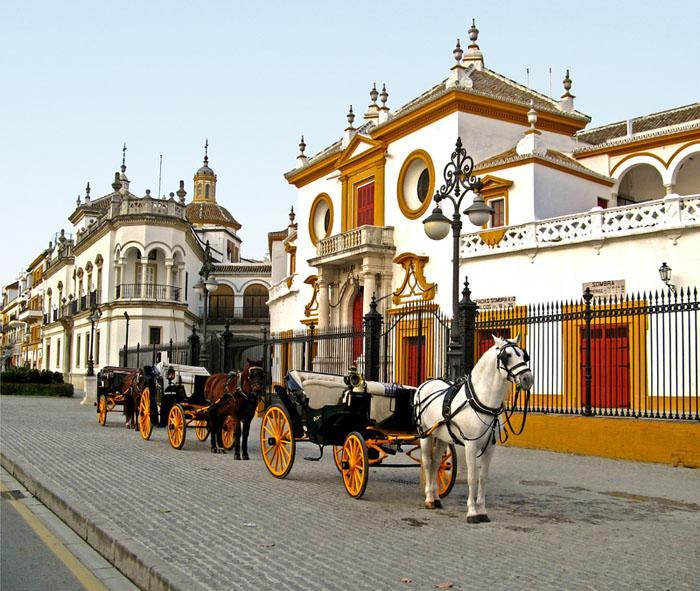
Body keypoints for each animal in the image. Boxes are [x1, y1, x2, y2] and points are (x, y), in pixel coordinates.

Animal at [412, 336, 532, 524]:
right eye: (507, 356)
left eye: (524, 355)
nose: (528, 378)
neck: (483, 402)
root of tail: (427, 382)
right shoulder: (470, 445)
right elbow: (472, 477)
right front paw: (472, 512)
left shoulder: (490, 447)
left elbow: (482, 477)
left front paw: (482, 510)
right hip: (425, 433)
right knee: (428, 462)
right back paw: (429, 498)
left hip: (442, 437)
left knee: (437, 463)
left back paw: (436, 498)